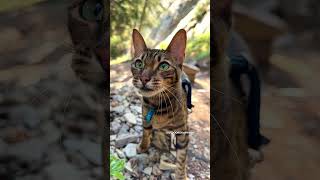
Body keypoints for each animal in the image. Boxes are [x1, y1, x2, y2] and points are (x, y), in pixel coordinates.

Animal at [131, 28, 189, 179]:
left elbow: (182, 158)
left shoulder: (182, 131)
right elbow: (145, 134)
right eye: (138, 63)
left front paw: (181, 175)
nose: (144, 78)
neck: (157, 105)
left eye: (164, 66)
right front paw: (143, 146)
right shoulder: (145, 119)